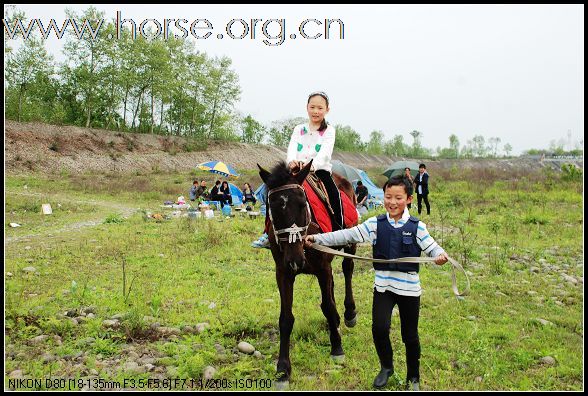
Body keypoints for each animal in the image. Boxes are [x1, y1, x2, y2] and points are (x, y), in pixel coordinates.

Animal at [258, 160, 358, 386]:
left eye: (303, 204)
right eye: (272, 209)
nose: (295, 260)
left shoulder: (322, 268)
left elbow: (328, 306)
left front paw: (337, 349)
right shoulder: (283, 273)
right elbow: (286, 319)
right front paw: (282, 369)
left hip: (350, 244)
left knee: (347, 269)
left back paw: (349, 313)